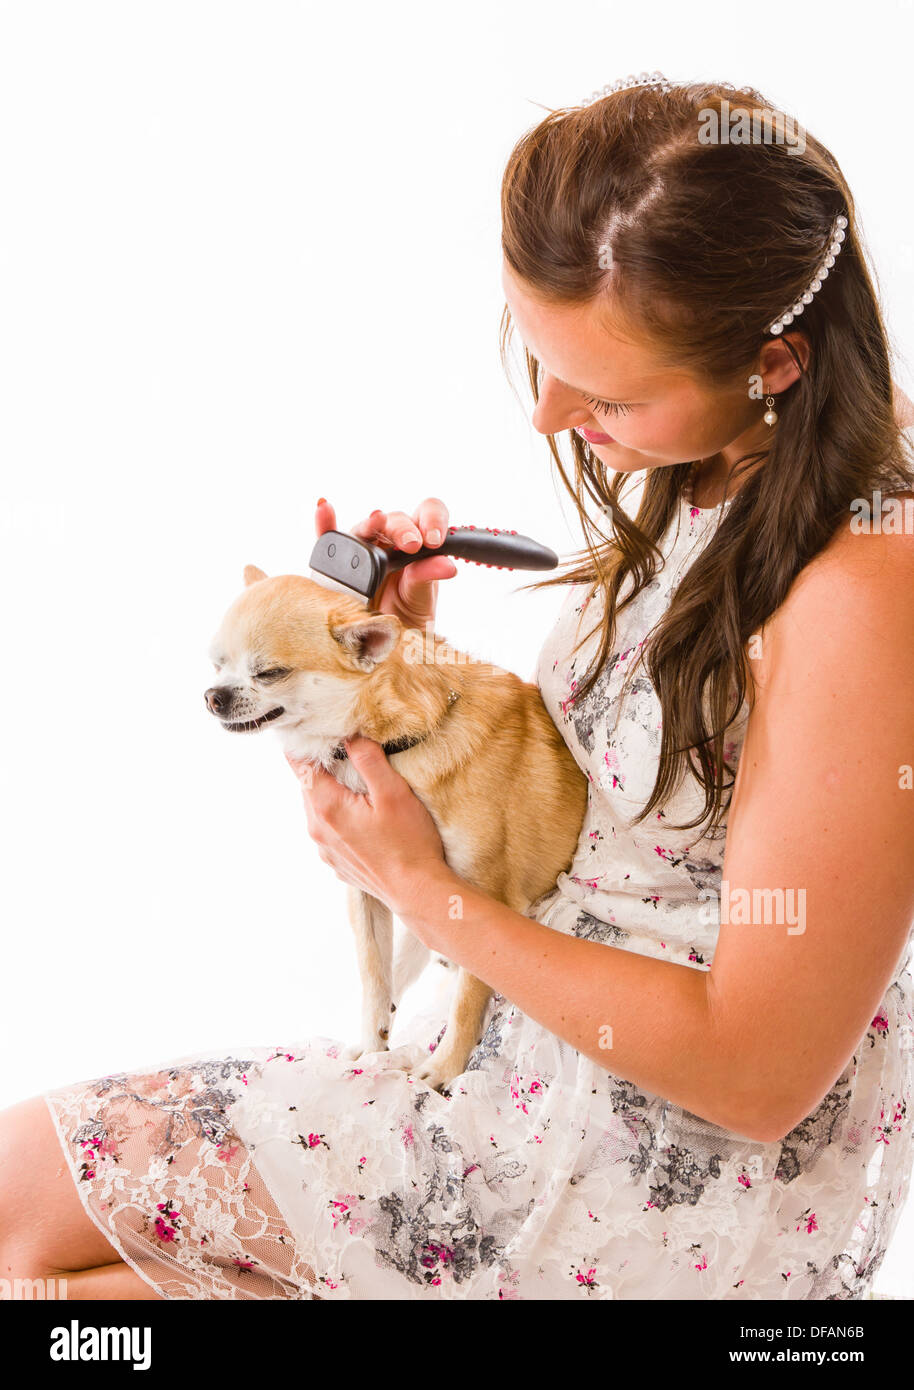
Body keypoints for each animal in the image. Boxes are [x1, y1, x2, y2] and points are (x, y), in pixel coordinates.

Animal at [205, 567, 586, 1095]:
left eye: (269, 673)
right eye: (216, 665)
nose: (212, 696)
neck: (390, 747)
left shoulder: (485, 900)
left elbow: (467, 999)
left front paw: (445, 1068)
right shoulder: (368, 891)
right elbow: (374, 976)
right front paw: (371, 1046)